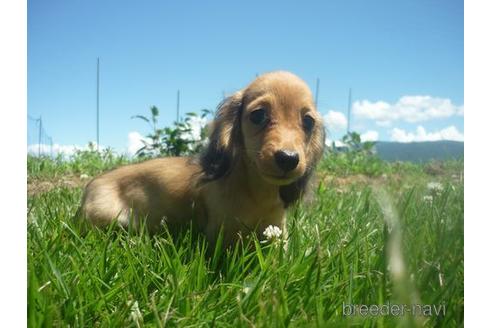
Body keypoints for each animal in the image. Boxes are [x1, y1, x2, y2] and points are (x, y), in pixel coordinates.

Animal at [80, 71, 326, 246]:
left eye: (308, 121)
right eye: (258, 115)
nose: (288, 159)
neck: (255, 193)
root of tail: (90, 185)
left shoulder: (277, 232)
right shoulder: (220, 234)